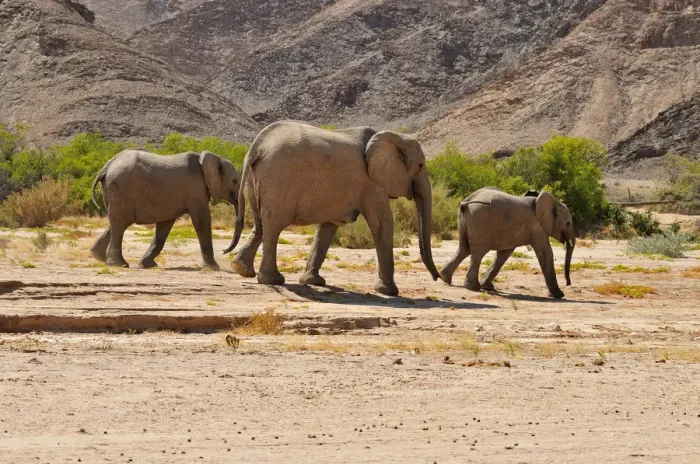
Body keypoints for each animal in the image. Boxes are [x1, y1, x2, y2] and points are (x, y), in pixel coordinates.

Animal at [89, 149, 241, 270]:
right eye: (234, 181)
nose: (224, 251)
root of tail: (106, 168)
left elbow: (164, 227)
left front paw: (147, 265)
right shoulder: (195, 189)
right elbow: (201, 221)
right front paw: (214, 267)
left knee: (116, 222)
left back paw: (97, 256)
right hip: (121, 189)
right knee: (120, 224)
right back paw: (119, 264)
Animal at [228, 120, 439, 296]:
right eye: (420, 165)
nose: (437, 278)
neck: (393, 137)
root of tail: (257, 146)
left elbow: (327, 227)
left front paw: (313, 282)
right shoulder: (371, 183)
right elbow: (382, 223)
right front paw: (389, 292)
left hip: (256, 180)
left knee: (260, 224)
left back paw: (241, 269)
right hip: (278, 180)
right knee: (273, 226)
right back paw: (273, 280)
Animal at [438, 187, 576, 299]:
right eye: (568, 223)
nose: (568, 283)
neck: (553, 201)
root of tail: (466, 202)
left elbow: (504, 254)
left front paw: (487, 287)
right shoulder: (537, 227)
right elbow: (546, 252)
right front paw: (559, 295)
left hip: (463, 221)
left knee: (464, 249)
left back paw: (445, 278)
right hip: (480, 223)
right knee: (478, 252)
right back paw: (473, 287)